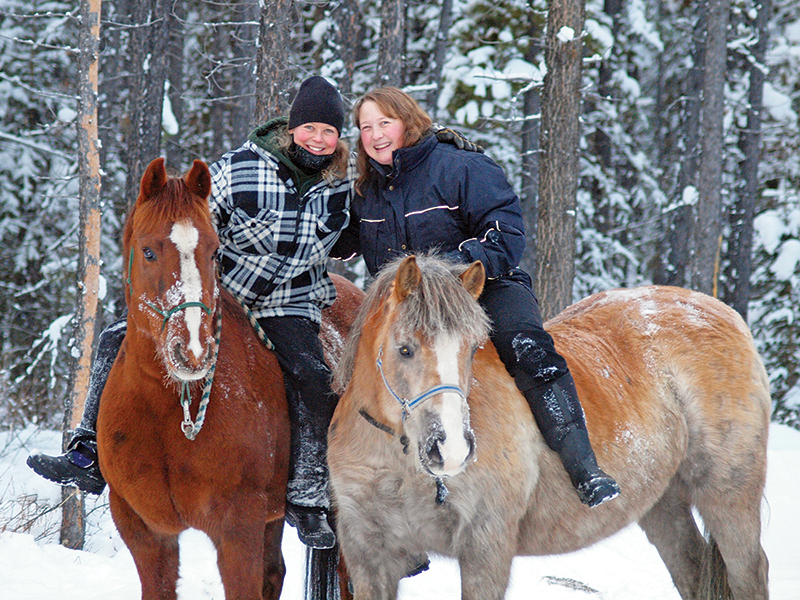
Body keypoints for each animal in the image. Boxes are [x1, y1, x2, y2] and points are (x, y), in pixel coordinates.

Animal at [96, 157, 363, 600]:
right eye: (148, 251)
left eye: (214, 251)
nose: (192, 350)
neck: (166, 411)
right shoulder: (145, 532)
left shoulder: (238, 529)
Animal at [321, 254, 770, 600]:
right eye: (405, 349)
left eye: (471, 349)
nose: (450, 451)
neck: (395, 462)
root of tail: (721, 311)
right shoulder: (368, 555)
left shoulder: (486, 547)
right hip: (663, 503)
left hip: (728, 492)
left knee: (749, 570)